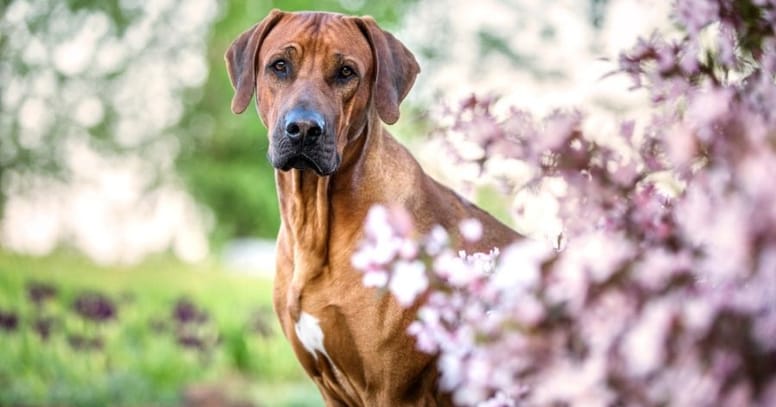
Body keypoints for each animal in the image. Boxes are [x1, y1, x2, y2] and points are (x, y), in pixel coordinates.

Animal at [224, 10, 520, 407]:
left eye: (346, 72)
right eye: (280, 66)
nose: (303, 128)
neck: (315, 223)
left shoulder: (391, 390)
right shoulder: (330, 389)